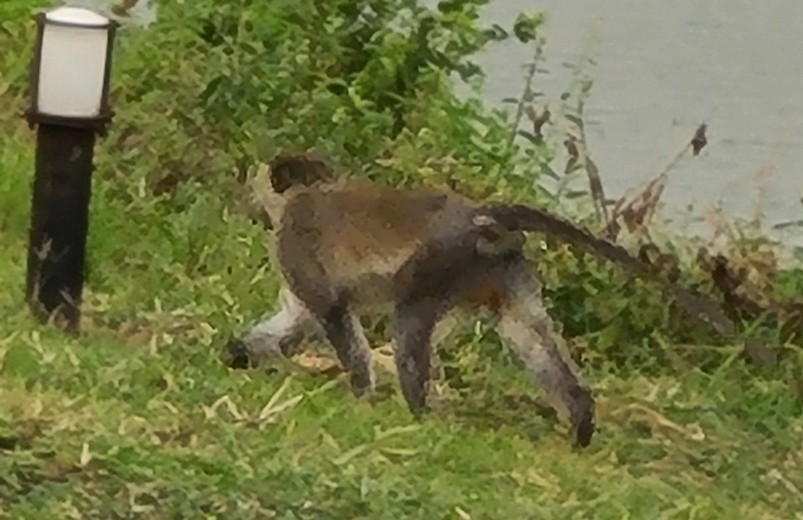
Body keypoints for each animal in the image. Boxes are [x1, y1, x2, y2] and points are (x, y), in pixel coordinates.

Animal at [223, 152, 737, 448]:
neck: (302, 196)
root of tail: (479, 215)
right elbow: (298, 317)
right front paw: (242, 353)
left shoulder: (293, 239)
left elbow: (330, 313)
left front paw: (361, 396)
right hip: (500, 270)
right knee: (528, 333)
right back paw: (580, 419)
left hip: (441, 262)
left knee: (409, 323)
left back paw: (417, 411)